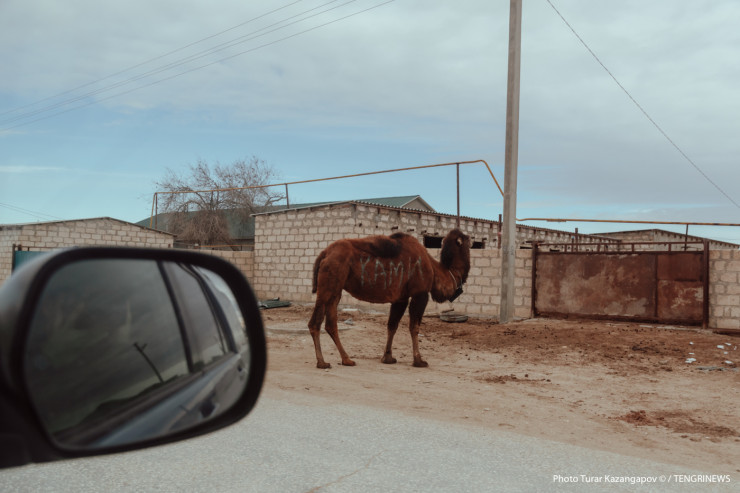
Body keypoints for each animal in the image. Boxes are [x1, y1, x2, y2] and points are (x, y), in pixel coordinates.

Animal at [308, 229, 471, 369]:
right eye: (468, 242)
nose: (472, 240)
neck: (434, 269)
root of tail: (324, 253)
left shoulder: (401, 298)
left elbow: (392, 325)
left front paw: (388, 358)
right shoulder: (420, 293)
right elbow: (414, 327)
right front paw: (419, 360)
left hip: (336, 289)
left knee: (331, 323)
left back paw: (347, 360)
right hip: (329, 283)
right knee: (315, 322)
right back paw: (322, 362)